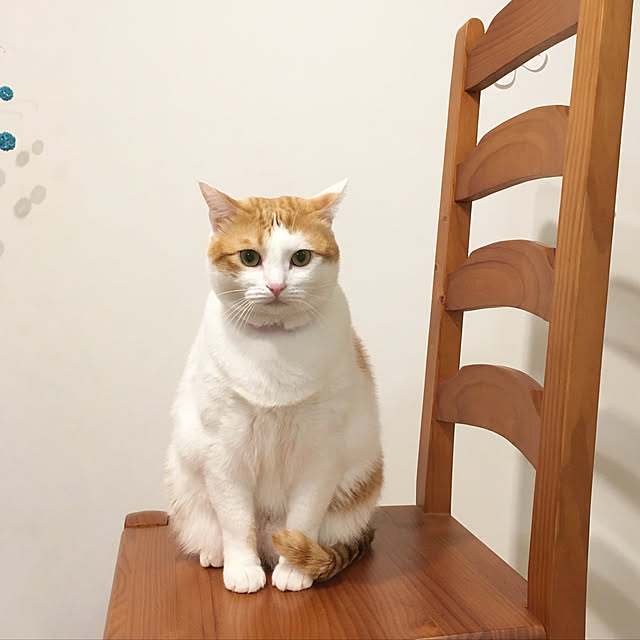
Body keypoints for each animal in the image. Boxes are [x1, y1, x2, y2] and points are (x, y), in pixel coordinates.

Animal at [165, 179, 383, 593]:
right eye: (249, 257)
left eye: (301, 258)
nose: (277, 286)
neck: (274, 347)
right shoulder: (223, 454)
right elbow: (237, 524)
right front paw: (242, 570)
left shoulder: (321, 455)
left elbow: (303, 519)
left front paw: (295, 570)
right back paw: (216, 554)